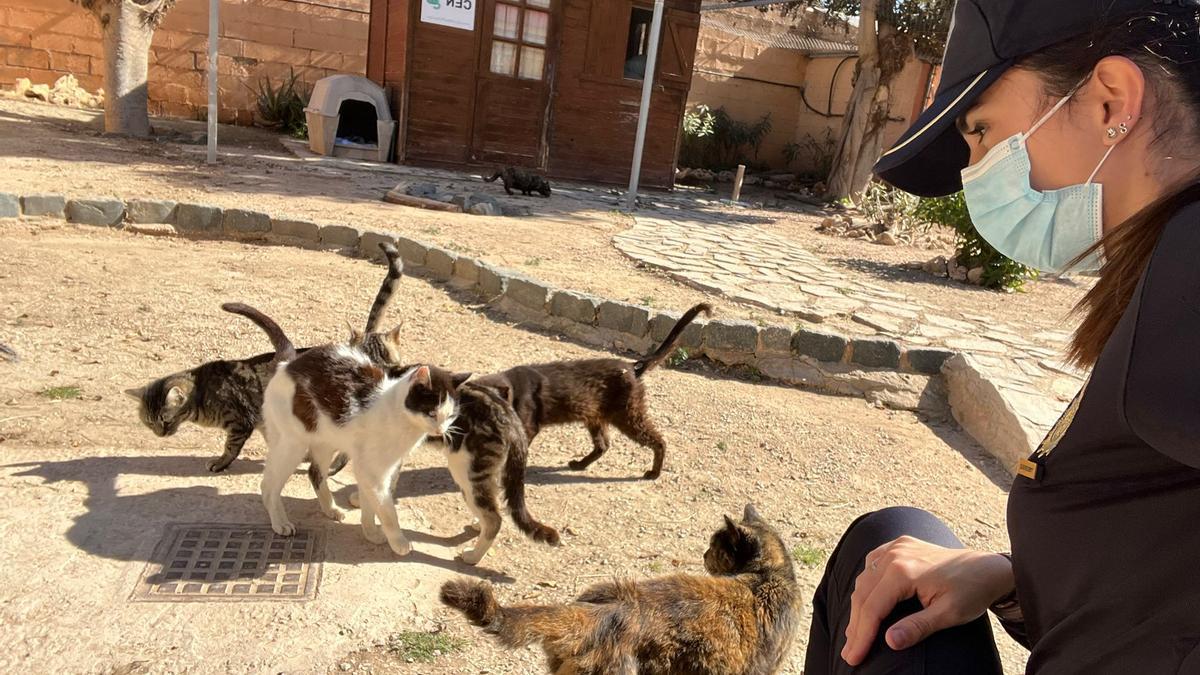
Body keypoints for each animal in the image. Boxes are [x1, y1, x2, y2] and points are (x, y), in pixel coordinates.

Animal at [124, 242, 408, 473]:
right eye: (149, 423)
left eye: (164, 419)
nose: (160, 434)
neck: (201, 392)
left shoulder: (240, 422)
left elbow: (231, 448)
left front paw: (220, 463)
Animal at [223, 300, 465, 552]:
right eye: (432, 412)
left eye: (451, 415)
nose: (440, 430)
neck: (398, 416)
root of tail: (288, 363)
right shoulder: (372, 472)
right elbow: (387, 511)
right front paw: (398, 542)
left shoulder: (376, 469)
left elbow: (370, 507)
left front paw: (371, 533)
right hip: (292, 444)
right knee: (269, 484)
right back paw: (280, 522)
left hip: (323, 442)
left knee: (313, 473)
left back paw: (330, 509)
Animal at [468, 299, 710, 478]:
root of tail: (632, 367)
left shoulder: (527, 427)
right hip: (596, 416)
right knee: (603, 445)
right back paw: (580, 464)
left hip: (628, 415)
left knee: (658, 441)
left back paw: (654, 473)